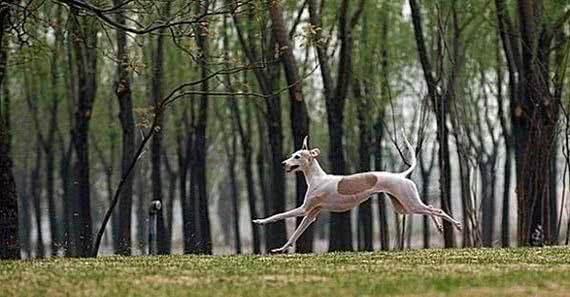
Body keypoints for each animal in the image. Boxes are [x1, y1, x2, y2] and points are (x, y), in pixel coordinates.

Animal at [254, 134, 462, 252]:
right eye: (292, 155)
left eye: (297, 156)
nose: (283, 164)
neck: (317, 178)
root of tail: (401, 175)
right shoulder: (311, 214)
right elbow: (295, 234)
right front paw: (281, 249)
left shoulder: (304, 209)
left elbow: (278, 215)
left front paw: (260, 221)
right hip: (403, 206)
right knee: (431, 207)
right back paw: (441, 227)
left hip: (409, 202)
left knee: (437, 209)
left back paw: (457, 225)